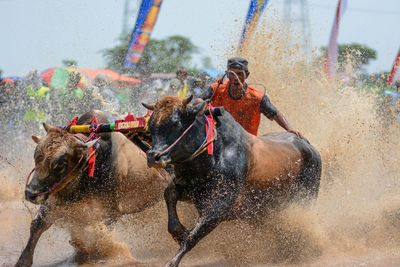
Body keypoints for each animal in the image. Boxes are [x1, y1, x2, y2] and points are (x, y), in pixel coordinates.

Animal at [14, 110, 169, 266]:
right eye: (36, 155)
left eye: (60, 162)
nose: (30, 193)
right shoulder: (54, 201)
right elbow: (37, 225)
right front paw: (23, 261)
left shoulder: (111, 213)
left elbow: (98, 237)